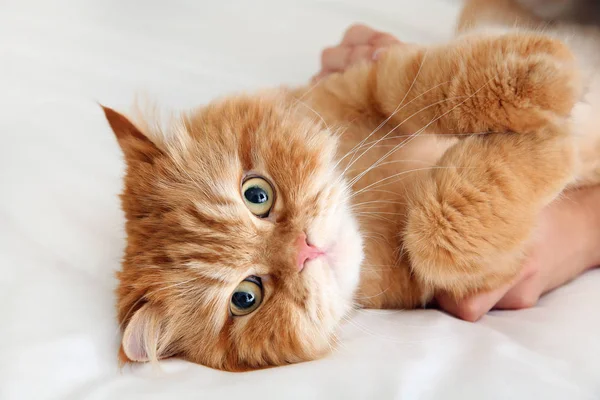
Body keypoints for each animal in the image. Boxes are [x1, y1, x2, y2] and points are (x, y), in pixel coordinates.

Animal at [104, 0, 600, 372]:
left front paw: (547, 74)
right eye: (245, 296)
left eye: (256, 195)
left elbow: (423, 82)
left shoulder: (372, 79)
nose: (304, 249)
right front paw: (552, 141)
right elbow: (439, 232)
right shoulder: (456, 283)